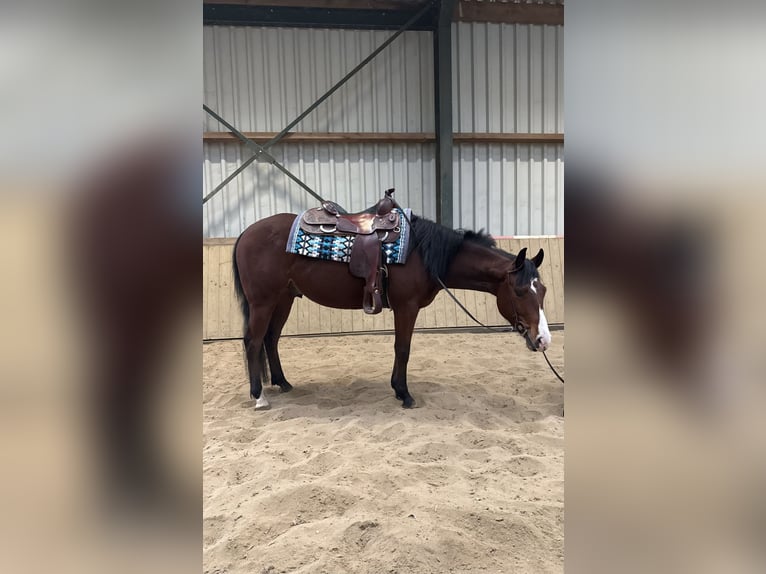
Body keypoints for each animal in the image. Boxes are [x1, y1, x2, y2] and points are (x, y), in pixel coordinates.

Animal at [232, 211, 551, 409]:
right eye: (520, 291)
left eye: (544, 290)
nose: (543, 340)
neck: (421, 253)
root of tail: (246, 233)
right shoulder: (406, 307)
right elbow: (403, 348)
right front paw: (404, 393)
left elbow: (401, 348)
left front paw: (399, 390)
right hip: (263, 301)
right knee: (253, 342)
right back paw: (259, 396)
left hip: (283, 299)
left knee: (271, 339)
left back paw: (283, 383)